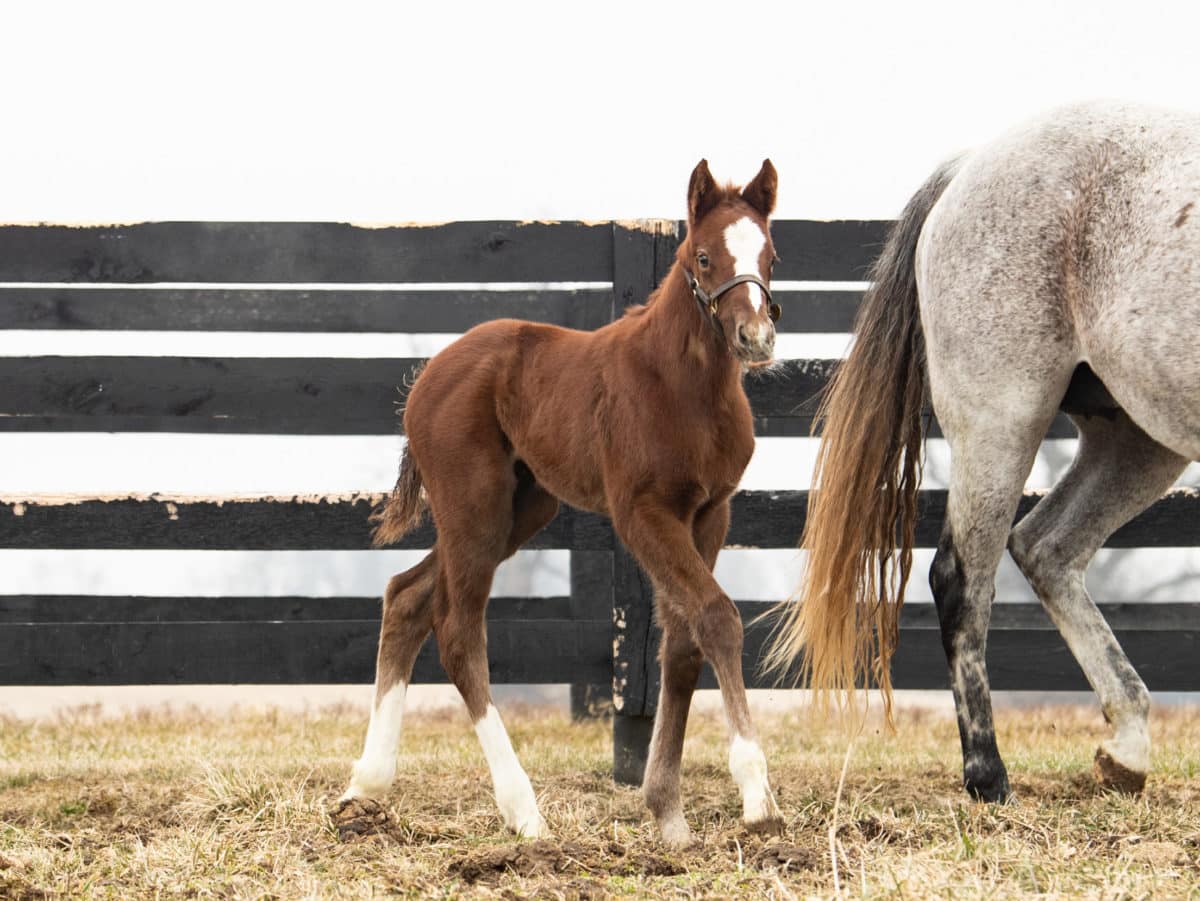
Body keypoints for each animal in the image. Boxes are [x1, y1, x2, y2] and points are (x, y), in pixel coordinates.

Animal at [343, 160, 782, 844]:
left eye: (770, 255)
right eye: (705, 257)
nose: (756, 337)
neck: (684, 389)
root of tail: (424, 379)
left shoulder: (710, 512)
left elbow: (682, 644)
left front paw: (668, 814)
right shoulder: (642, 512)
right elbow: (716, 617)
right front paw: (757, 797)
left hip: (520, 510)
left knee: (407, 597)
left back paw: (367, 785)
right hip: (474, 507)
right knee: (457, 631)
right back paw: (523, 812)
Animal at [768, 101, 1200, 801]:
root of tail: (971, 166)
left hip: (1136, 440)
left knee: (1047, 549)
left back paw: (1126, 750)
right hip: (1002, 419)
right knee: (962, 579)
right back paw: (988, 776)